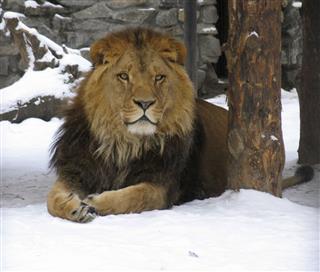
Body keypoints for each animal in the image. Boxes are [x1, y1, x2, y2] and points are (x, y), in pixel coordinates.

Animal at [46, 27, 314, 223]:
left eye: (159, 77)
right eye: (123, 76)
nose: (145, 103)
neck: (123, 143)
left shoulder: (163, 186)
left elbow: (134, 196)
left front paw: (95, 202)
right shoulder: (76, 170)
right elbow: (52, 198)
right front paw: (74, 206)